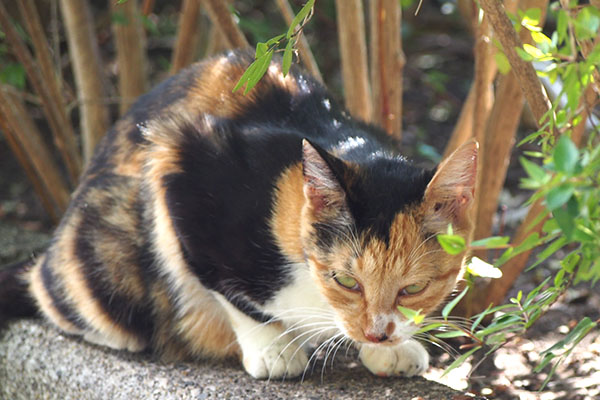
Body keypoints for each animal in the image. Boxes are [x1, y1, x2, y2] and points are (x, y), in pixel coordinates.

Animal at [1, 49, 478, 378]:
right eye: (346, 281)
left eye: (413, 289)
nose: (377, 332)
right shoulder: (181, 162)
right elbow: (225, 287)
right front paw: (273, 348)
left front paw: (388, 350)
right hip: (110, 259)